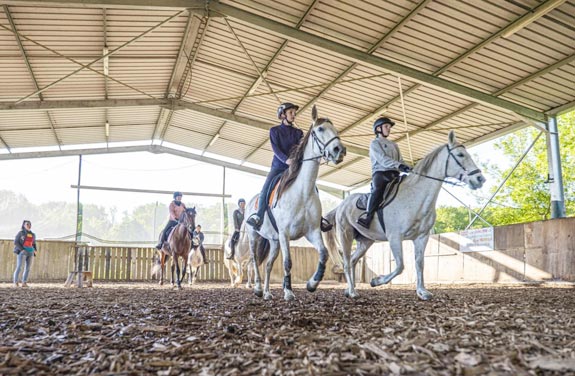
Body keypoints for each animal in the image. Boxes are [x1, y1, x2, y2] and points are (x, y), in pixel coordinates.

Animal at [246, 105, 346, 300]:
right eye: (320, 129)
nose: (340, 150)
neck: (302, 192)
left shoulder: (312, 231)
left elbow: (323, 254)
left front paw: (312, 284)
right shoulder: (285, 234)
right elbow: (288, 262)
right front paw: (288, 292)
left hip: (274, 241)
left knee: (268, 265)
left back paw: (267, 293)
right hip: (254, 236)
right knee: (254, 260)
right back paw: (258, 288)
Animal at [324, 131, 486, 302]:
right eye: (460, 154)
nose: (480, 179)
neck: (414, 197)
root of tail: (341, 205)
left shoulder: (421, 237)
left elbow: (419, 263)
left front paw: (422, 292)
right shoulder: (395, 237)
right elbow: (400, 266)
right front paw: (376, 281)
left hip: (366, 241)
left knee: (354, 261)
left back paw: (350, 290)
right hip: (346, 235)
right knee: (347, 263)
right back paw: (353, 292)